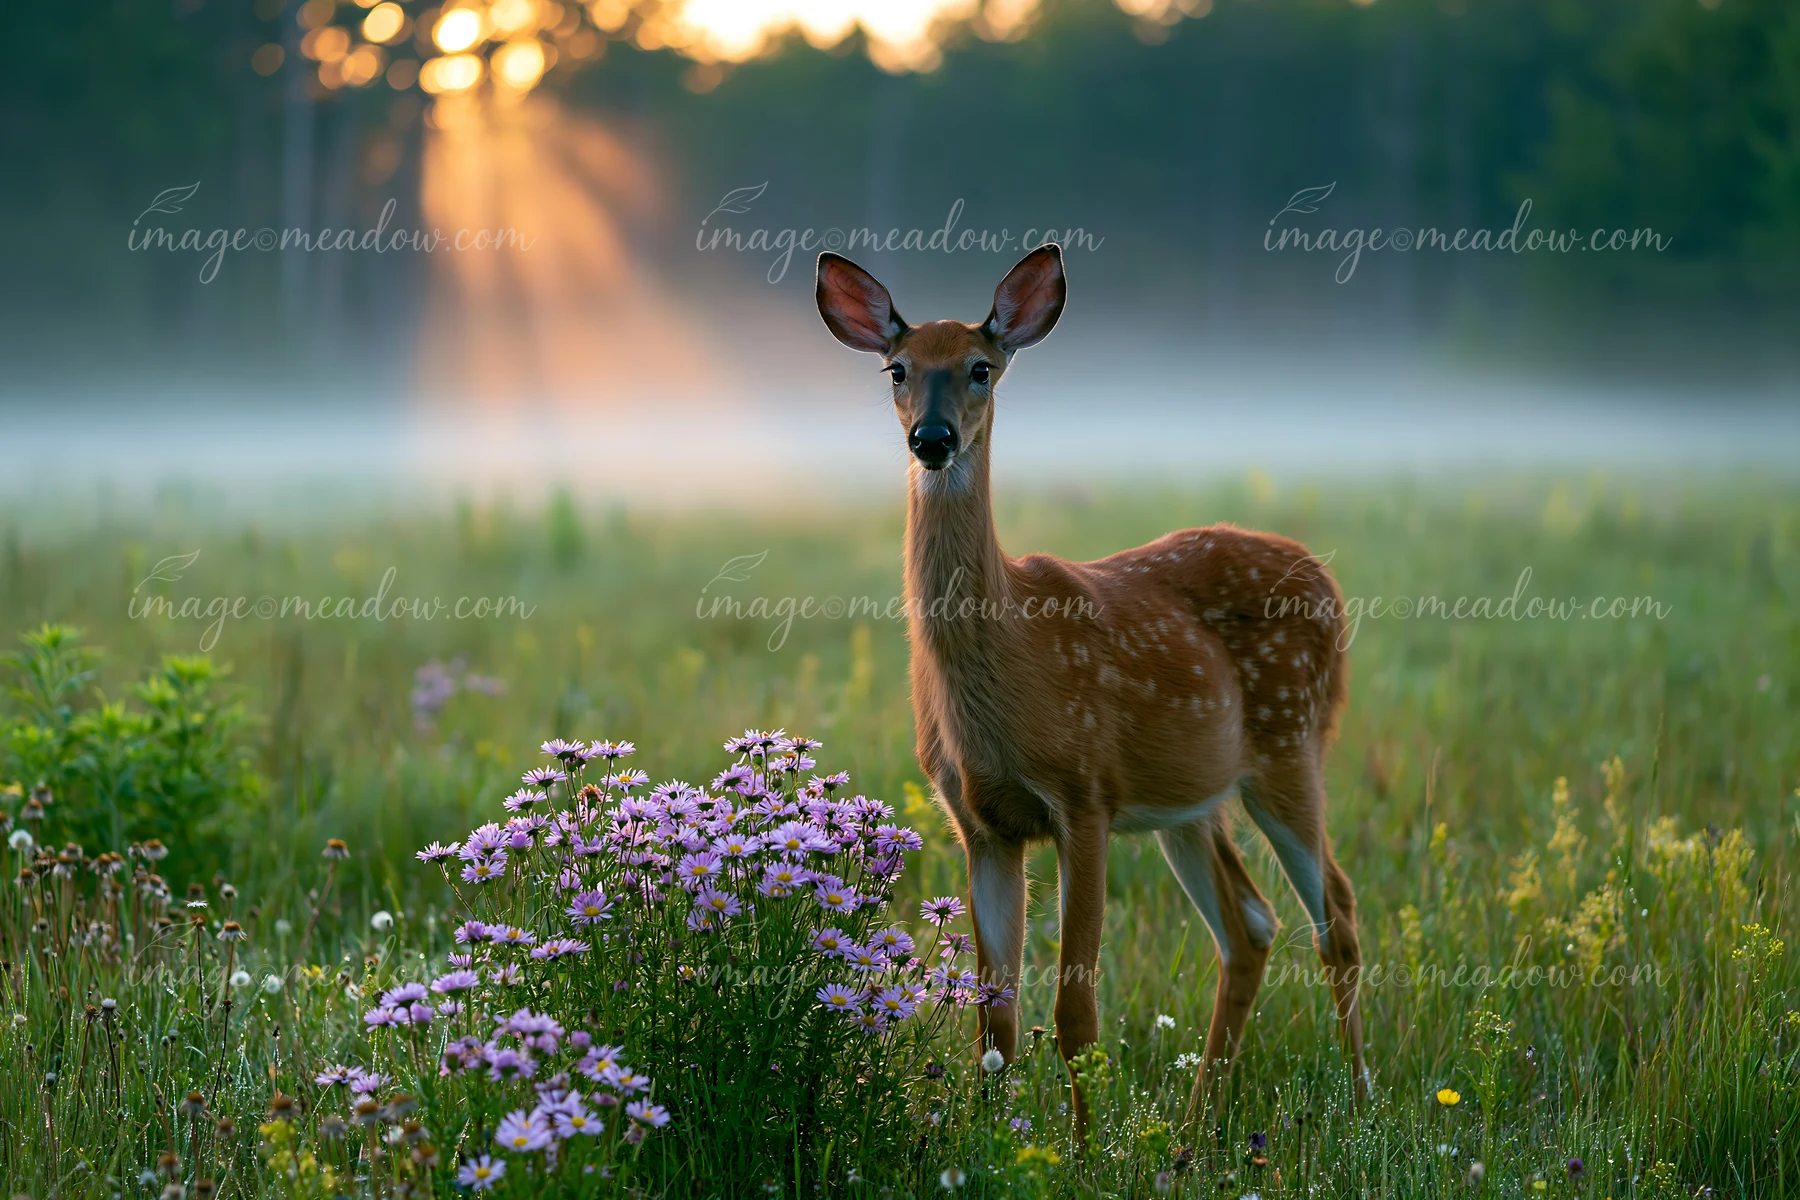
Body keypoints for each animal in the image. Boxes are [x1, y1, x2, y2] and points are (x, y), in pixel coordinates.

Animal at [814, 242, 1368, 1126]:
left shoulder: (1085, 795)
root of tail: (1325, 575)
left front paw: (1079, 1144)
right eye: (897, 369)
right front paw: (988, 1138)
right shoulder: (981, 823)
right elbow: (995, 1021)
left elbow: (1076, 1016)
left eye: (980, 368)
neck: (1009, 664)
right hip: (1192, 801)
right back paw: (1194, 1126)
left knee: (1338, 913)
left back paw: (1360, 1101)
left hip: (1292, 742)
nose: (932, 438)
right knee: (1249, 924)